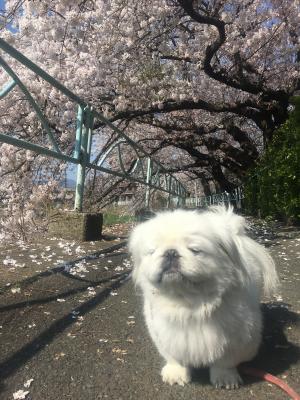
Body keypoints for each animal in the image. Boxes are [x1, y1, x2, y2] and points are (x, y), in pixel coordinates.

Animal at [127, 208, 278, 390]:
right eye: (153, 251)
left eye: (194, 250)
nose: (170, 252)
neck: (188, 304)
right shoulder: (165, 335)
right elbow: (174, 357)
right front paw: (176, 373)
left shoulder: (240, 337)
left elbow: (225, 361)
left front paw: (225, 378)